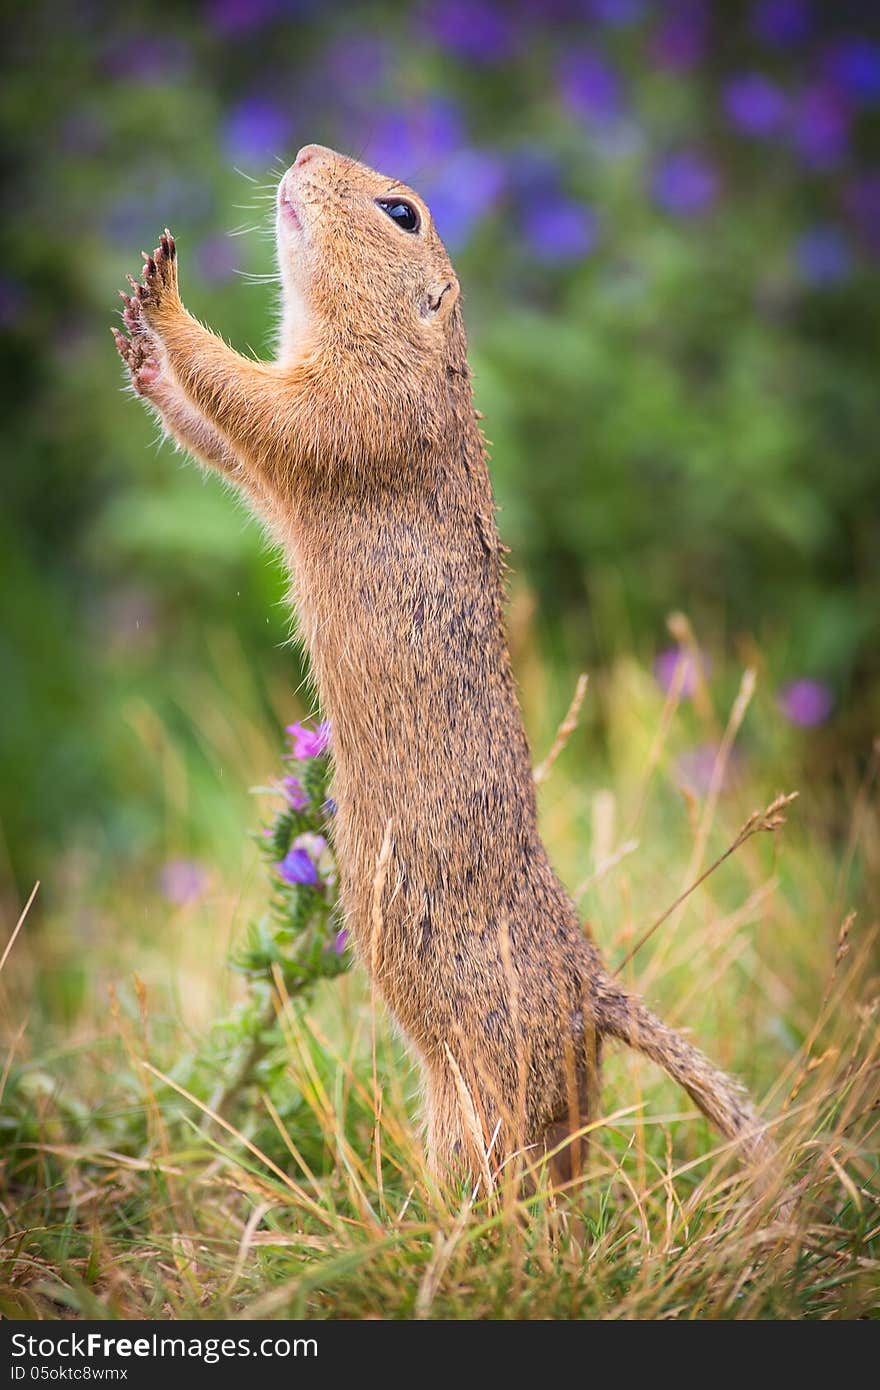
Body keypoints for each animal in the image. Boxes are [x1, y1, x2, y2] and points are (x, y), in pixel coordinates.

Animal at [111, 141, 772, 1189]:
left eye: (402, 212)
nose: (304, 151)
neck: (411, 346)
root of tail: (591, 990)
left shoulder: (349, 407)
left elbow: (250, 400)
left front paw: (166, 302)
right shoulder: (293, 445)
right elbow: (224, 438)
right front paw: (141, 350)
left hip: (479, 1089)